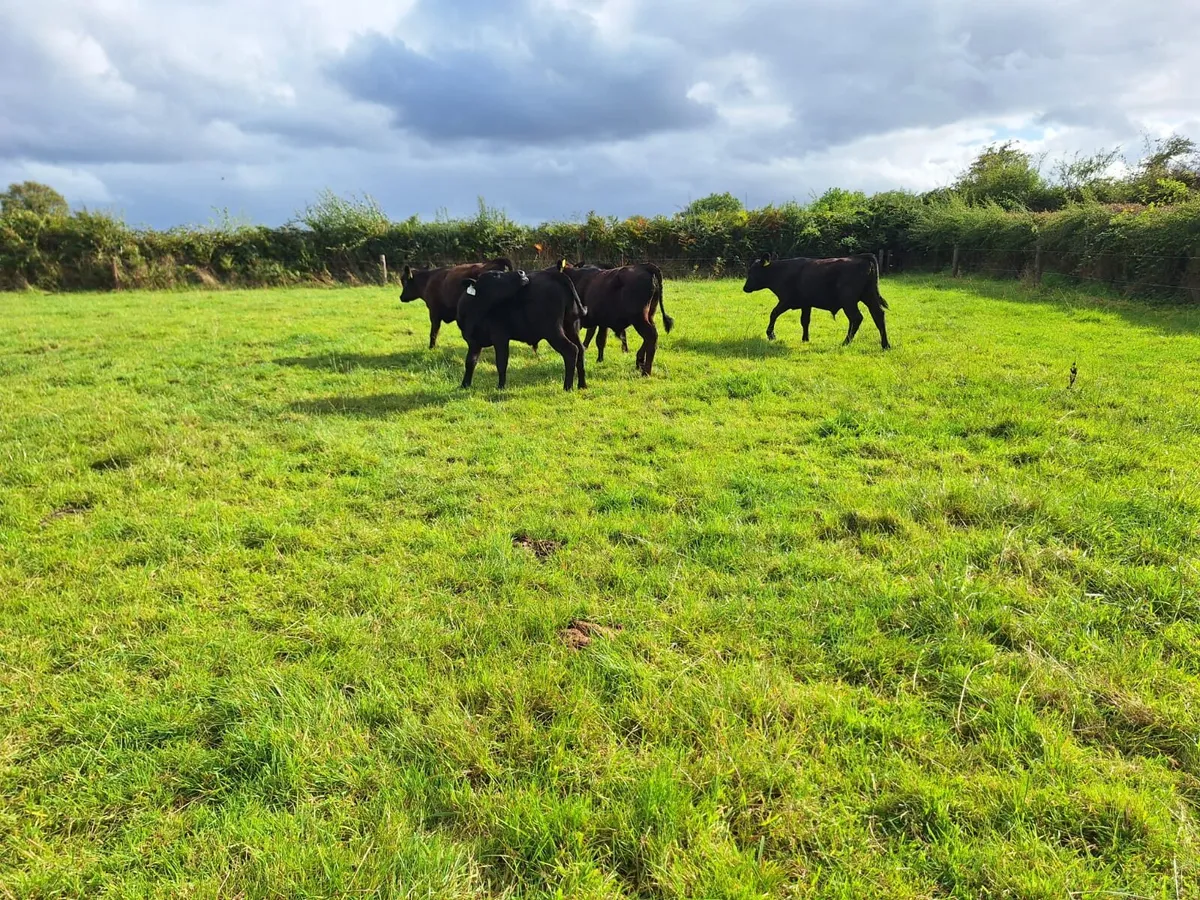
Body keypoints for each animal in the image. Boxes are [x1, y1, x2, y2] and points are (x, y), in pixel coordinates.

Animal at [456, 262, 588, 391]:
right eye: (495, 275)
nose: (521, 272)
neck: (476, 311)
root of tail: (554, 275)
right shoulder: (473, 342)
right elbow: (470, 362)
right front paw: (465, 385)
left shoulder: (500, 337)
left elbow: (501, 362)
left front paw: (501, 387)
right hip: (570, 327)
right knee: (580, 349)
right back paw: (582, 385)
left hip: (553, 331)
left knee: (571, 350)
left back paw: (567, 387)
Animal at [742, 252, 891, 350]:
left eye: (752, 272)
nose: (745, 288)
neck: (780, 272)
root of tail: (861, 258)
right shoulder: (806, 304)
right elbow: (805, 321)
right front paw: (805, 339)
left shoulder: (787, 300)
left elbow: (773, 313)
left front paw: (771, 335)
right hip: (869, 296)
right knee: (878, 315)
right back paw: (885, 345)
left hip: (848, 300)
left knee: (856, 318)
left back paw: (846, 342)